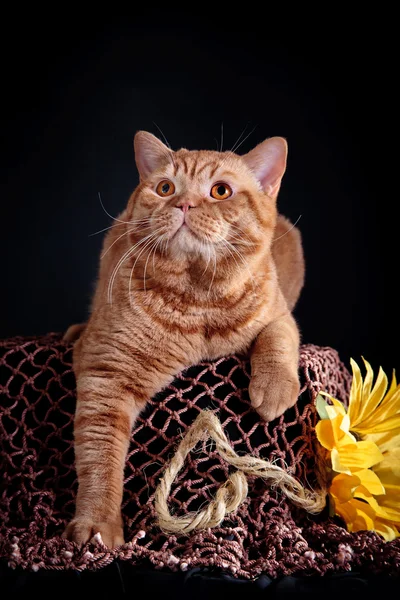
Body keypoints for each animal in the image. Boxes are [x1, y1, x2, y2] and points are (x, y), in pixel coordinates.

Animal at [63, 132, 304, 548]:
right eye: (165, 188)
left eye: (220, 191)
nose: (184, 203)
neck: (198, 300)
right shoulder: (106, 371)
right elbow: (99, 458)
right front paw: (97, 525)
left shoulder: (279, 314)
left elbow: (278, 338)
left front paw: (274, 388)